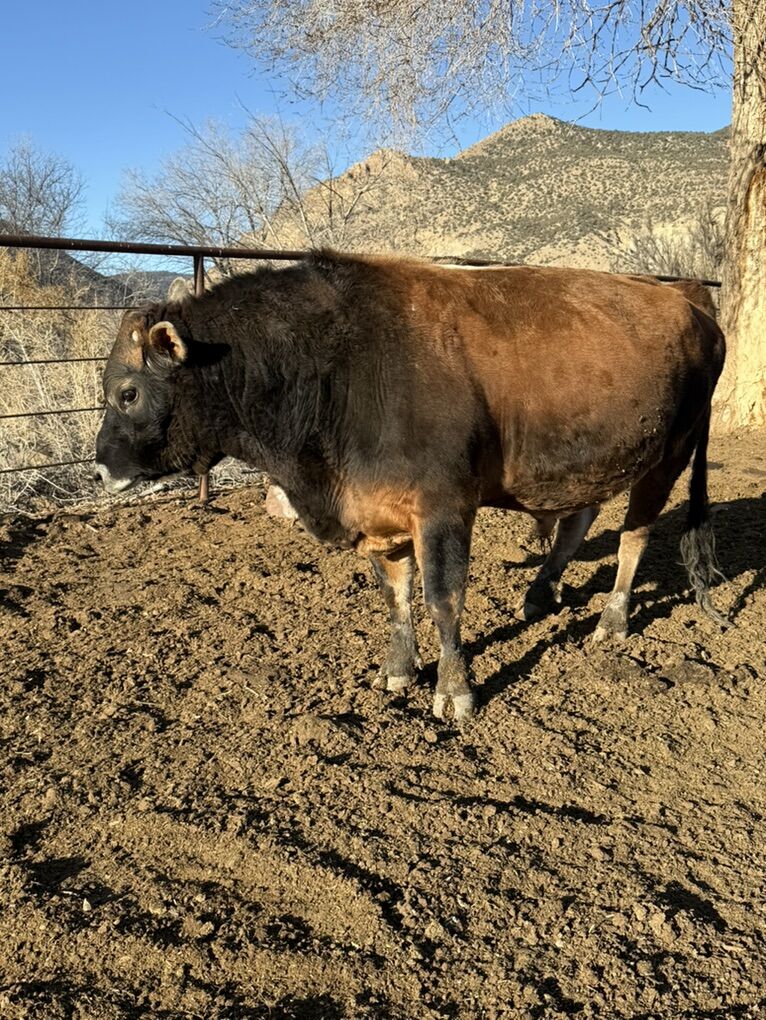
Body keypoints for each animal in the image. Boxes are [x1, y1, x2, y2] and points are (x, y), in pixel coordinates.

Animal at [94, 252, 727, 724]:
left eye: (128, 392)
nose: (101, 467)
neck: (336, 364)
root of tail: (689, 298)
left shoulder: (443, 508)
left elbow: (442, 600)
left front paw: (454, 690)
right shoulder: (378, 513)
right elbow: (396, 597)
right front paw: (399, 669)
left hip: (668, 456)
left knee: (635, 535)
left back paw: (613, 619)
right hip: (587, 459)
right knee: (578, 519)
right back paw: (540, 591)